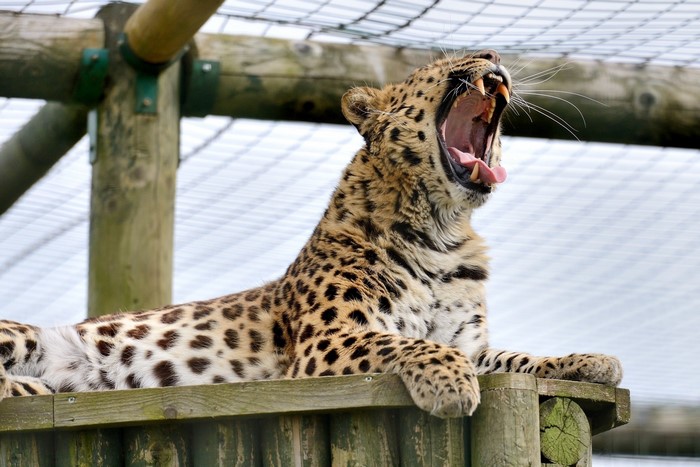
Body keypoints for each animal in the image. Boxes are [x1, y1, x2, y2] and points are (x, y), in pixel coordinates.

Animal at [0, 49, 622, 418]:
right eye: (451, 59)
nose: (493, 56)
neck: (443, 231)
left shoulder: (473, 343)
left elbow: (517, 358)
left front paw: (588, 362)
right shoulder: (328, 340)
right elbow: (408, 343)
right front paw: (450, 384)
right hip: (24, 334)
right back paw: (33, 388)